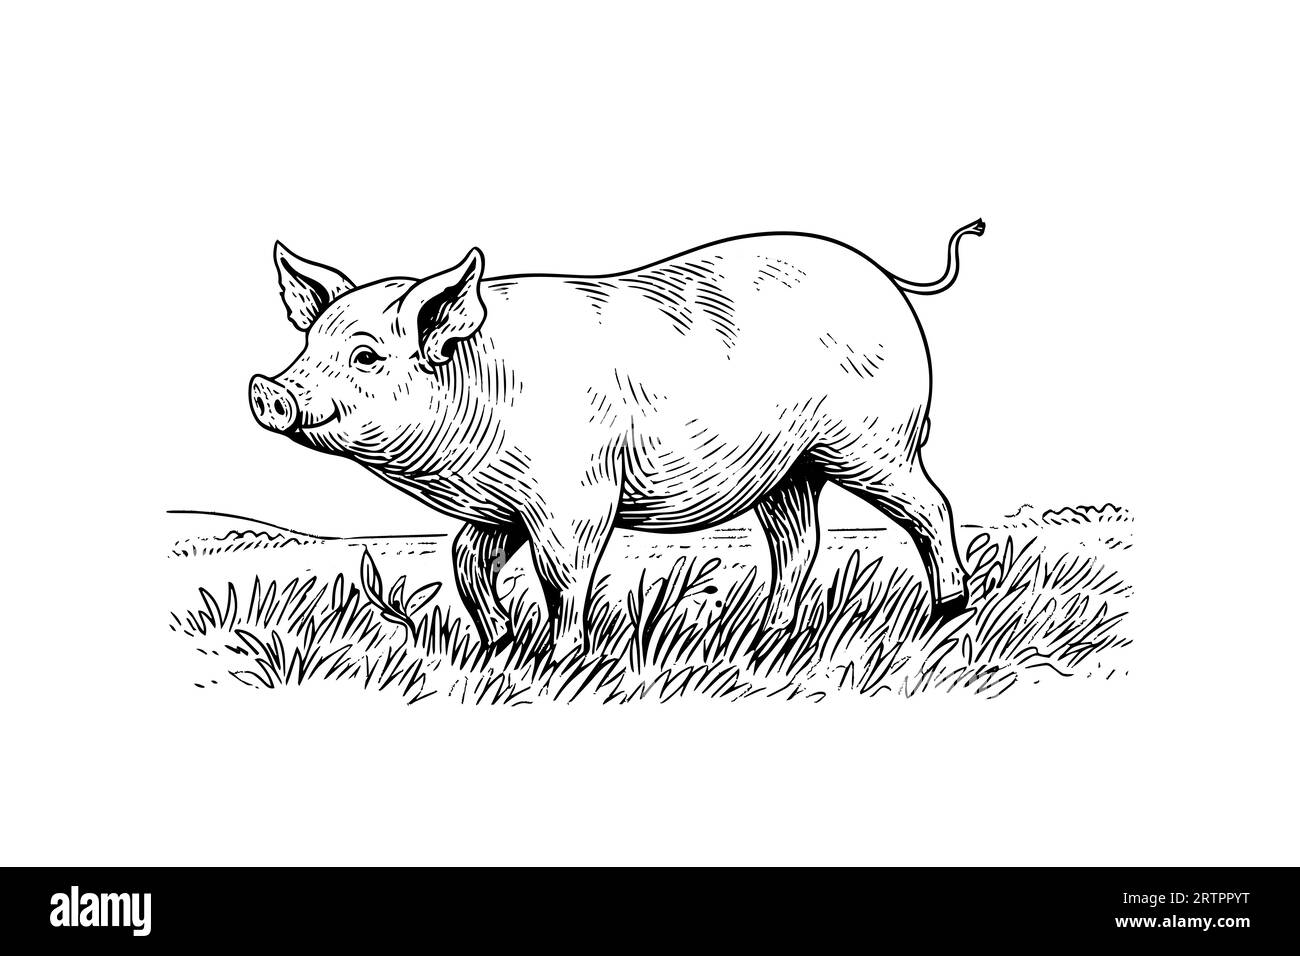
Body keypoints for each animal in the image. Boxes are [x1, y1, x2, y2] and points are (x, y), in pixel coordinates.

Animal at [250, 220, 986, 658]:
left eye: (366, 356)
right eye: (308, 344)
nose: (266, 389)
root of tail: (885, 277)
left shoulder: (575, 497)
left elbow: (563, 573)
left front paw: (560, 658)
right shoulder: (499, 505)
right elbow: (464, 561)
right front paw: (497, 646)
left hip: (874, 442)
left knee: (931, 506)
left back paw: (946, 612)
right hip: (790, 466)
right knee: (799, 538)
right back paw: (768, 634)